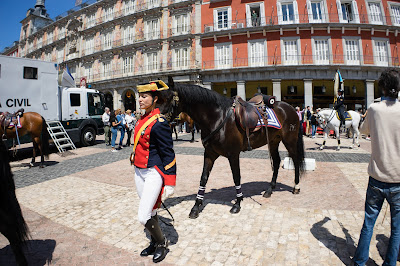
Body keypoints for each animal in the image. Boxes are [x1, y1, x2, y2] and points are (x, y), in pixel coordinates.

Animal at [161, 77, 304, 218]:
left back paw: (296, 186)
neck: (218, 118)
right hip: (274, 141)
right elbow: (203, 178)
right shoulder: (209, 153)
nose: (160, 119)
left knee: (295, 159)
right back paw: (269, 189)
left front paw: (237, 203)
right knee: (277, 161)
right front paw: (196, 206)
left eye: (169, 98)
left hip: (289, 140)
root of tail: (290, 107)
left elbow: (236, 176)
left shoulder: (233, 154)